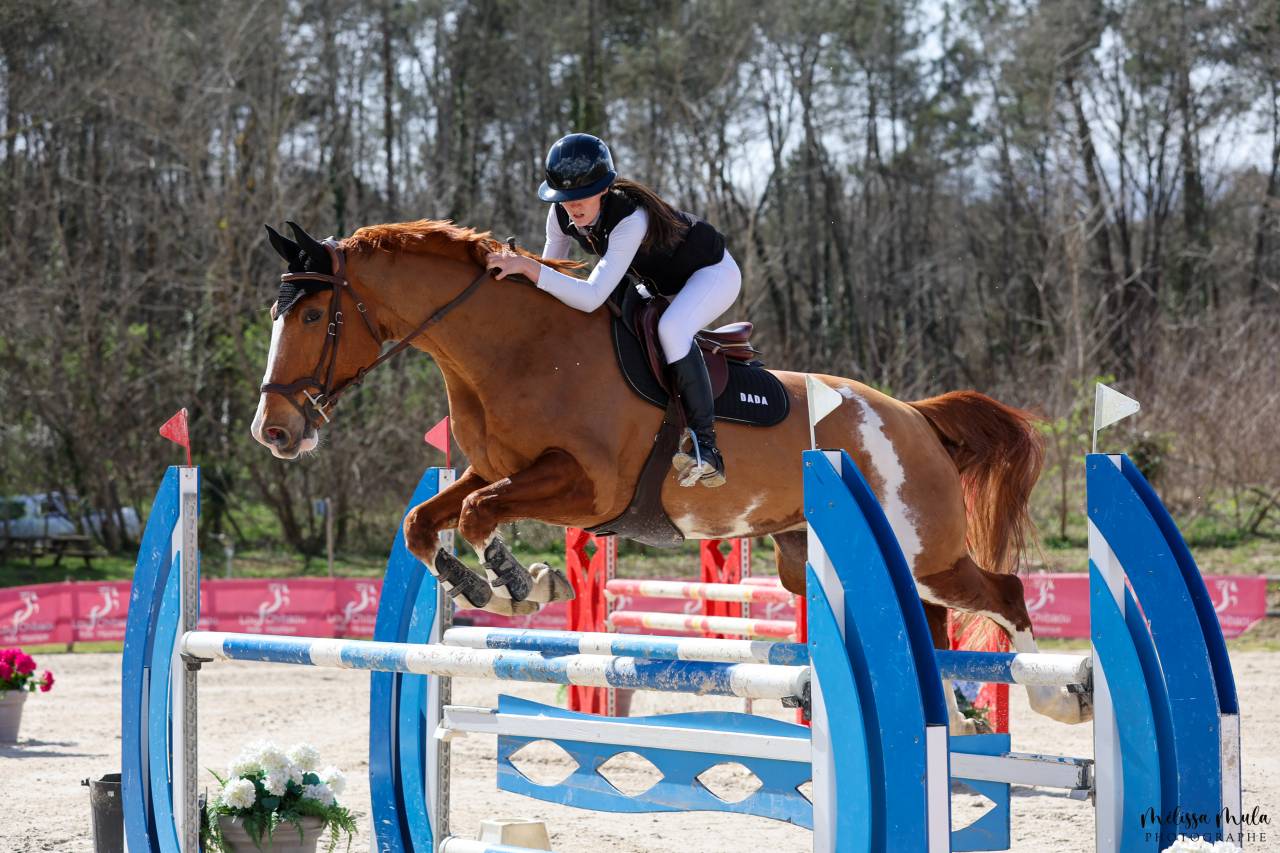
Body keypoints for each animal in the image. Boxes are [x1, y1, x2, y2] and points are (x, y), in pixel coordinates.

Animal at [250, 219, 1090, 732]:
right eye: (276, 314)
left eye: (311, 317)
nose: (274, 431)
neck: (518, 347)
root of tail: (914, 415)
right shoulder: (500, 467)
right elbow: (426, 521)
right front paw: (487, 585)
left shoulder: (586, 486)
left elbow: (484, 512)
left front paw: (523, 581)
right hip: (828, 558)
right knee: (936, 620)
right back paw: (949, 706)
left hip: (925, 550)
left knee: (1003, 592)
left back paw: (1056, 694)